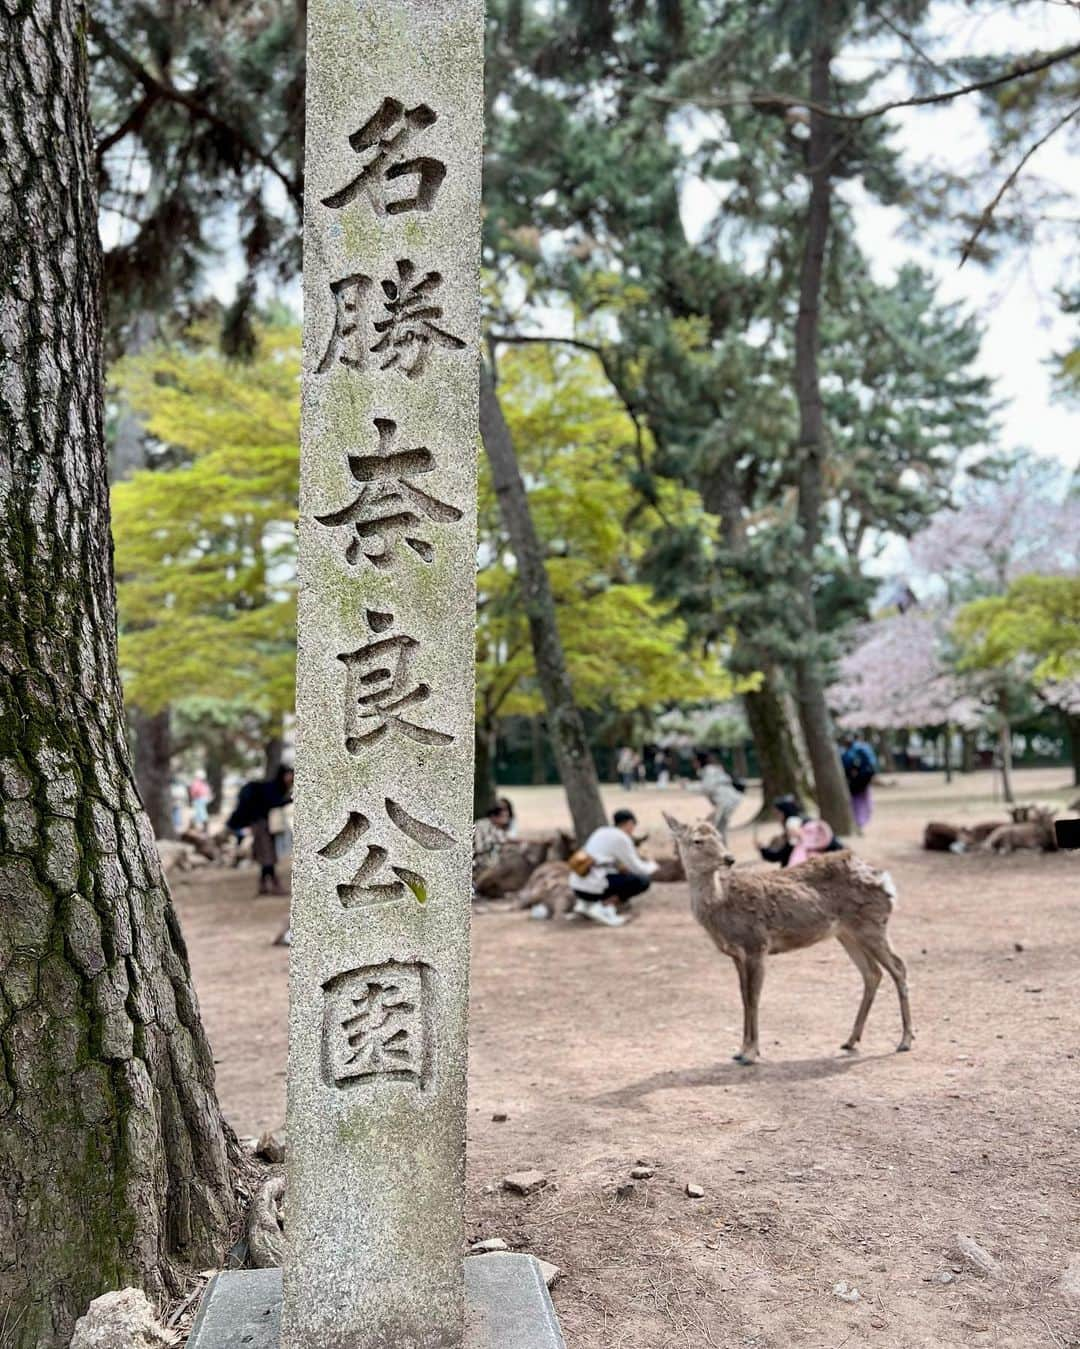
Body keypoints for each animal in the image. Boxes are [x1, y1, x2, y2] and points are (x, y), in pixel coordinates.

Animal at [666, 809, 911, 1063]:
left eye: (718, 835)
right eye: (697, 840)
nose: (729, 858)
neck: (721, 904)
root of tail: (886, 881)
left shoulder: (757, 944)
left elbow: (753, 997)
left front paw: (751, 1053)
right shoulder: (736, 954)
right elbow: (743, 996)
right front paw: (740, 1050)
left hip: (872, 925)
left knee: (899, 967)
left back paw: (904, 1041)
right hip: (848, 933)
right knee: (873, 973)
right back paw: (850, 1040)